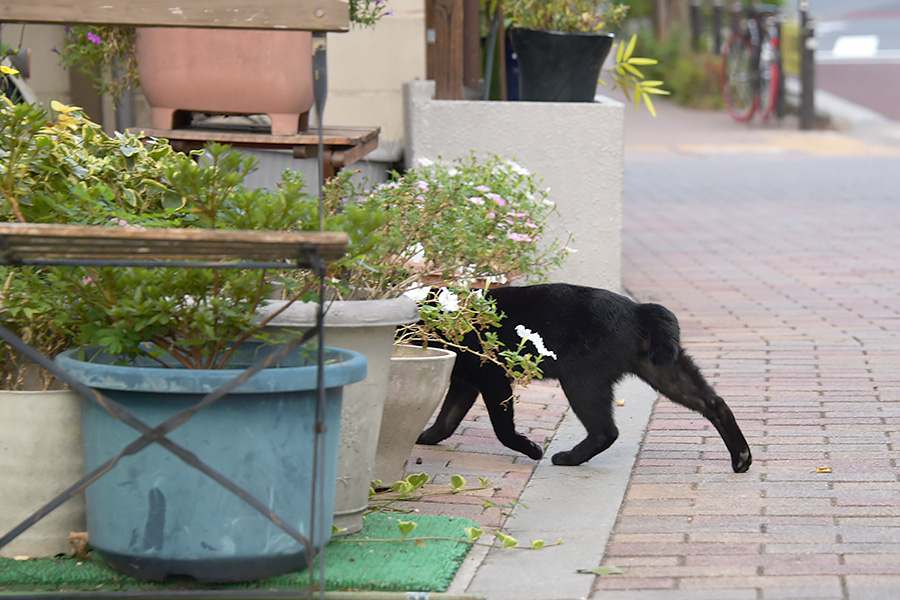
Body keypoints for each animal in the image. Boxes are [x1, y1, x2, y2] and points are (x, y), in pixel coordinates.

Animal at [416, 284, 752, 476]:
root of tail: (637, 308)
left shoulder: (491, 377)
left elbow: (502, 429)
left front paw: (530, 449)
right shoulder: (465, 383)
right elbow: (447, 419)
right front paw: (425, 437)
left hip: (581, 380)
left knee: (606, 431)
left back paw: (568, 458)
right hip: (664, 371)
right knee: (715, 404)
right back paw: (741, 457)